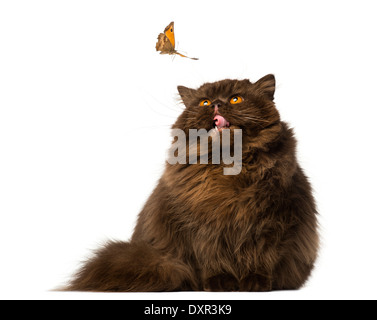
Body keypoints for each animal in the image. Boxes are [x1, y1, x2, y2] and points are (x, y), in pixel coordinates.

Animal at [67, 74, 318, 292]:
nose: (216, 104)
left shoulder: (272, 220)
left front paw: (255, 282)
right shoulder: (201, 226)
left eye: (235, 99)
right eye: (204, 102)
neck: (227, 165)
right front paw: (220, 282)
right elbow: (212, 258)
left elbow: (261, 256)